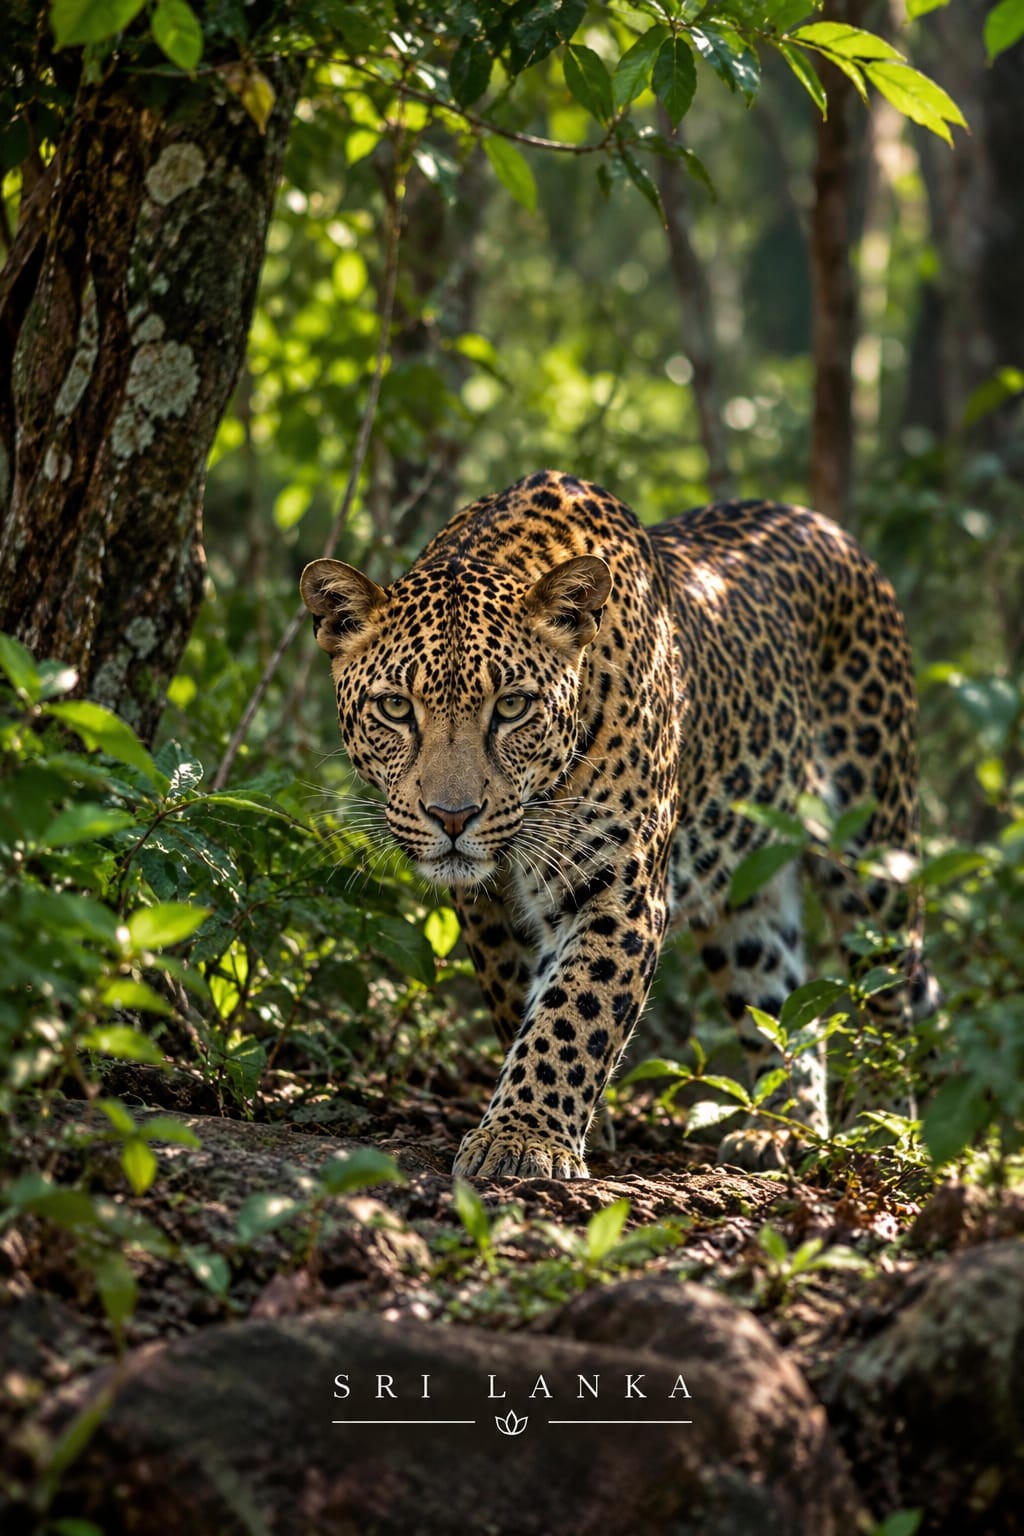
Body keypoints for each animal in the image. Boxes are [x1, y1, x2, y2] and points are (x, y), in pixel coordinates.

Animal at [301, 470, 939, 1180]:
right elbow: (521, 998)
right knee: (778, 995)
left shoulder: (620, 889)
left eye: (513, 706)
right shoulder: (486, 905)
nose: (452, 817)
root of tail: (826, 526)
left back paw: (887, 1133)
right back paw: (782, 1128)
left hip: (875, 842)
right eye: (394, 707)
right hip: (747, 892)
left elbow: (575, 1012)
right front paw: (568, 1125)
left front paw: (525, 1137)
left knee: (890, 988)